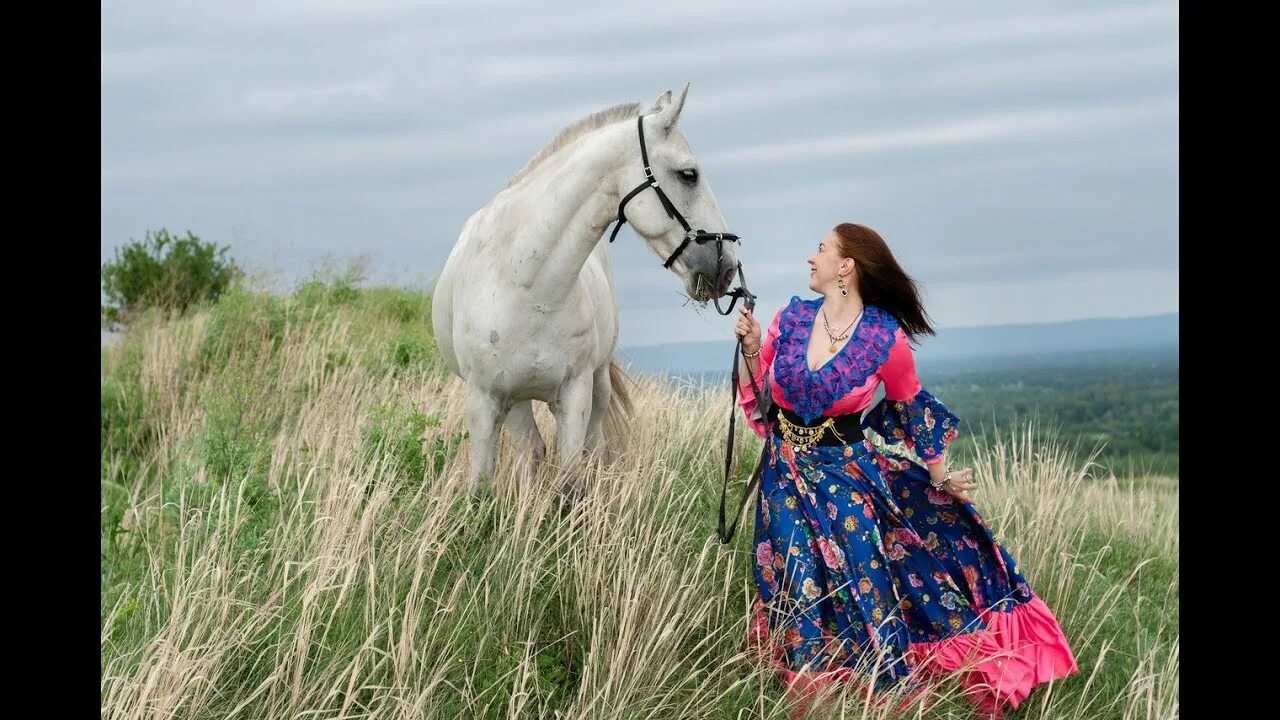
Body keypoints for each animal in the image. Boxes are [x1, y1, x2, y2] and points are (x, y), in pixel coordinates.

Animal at [430, 83, 737, 497]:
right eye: (689, 174)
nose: (726, 267)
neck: (527, 284)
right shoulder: (484, 401)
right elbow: (482, 487)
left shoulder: (574, 395)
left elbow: (570, 486)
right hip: (515, 402)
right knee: (532, 450)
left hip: (597, 385)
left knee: (591, 447)